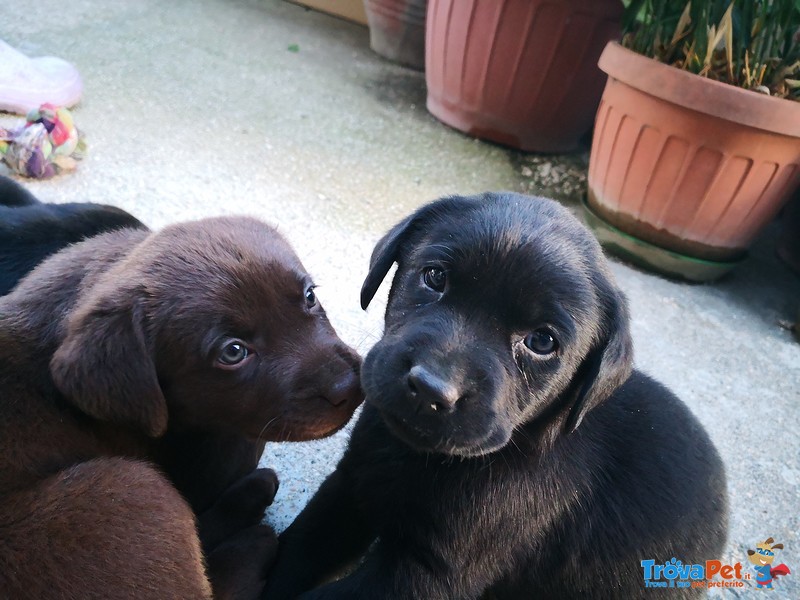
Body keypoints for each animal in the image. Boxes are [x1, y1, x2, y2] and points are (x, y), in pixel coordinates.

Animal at [266, 193, 728, 600]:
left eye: (542, 341)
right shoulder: (351, 484)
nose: (430, 388)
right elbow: (296, 548)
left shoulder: (427, 575)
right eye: (434, 277)